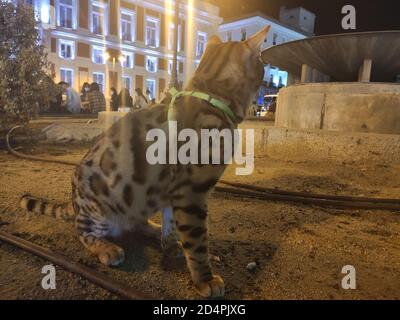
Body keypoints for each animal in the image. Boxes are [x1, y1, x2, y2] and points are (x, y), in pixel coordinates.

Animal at [21, 26, 272, 298]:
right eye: (262, 63)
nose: (267, 72)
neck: (211, 96)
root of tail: (74, 203)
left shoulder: (175, 192)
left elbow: (172, 227)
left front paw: (172, 246)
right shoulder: (191, 192)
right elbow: (196, 241)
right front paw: (204, 279)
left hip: (141, 197)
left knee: (137, 221)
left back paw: (151, 227)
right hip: (99, 206)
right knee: (83, 232)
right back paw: (107, 248)